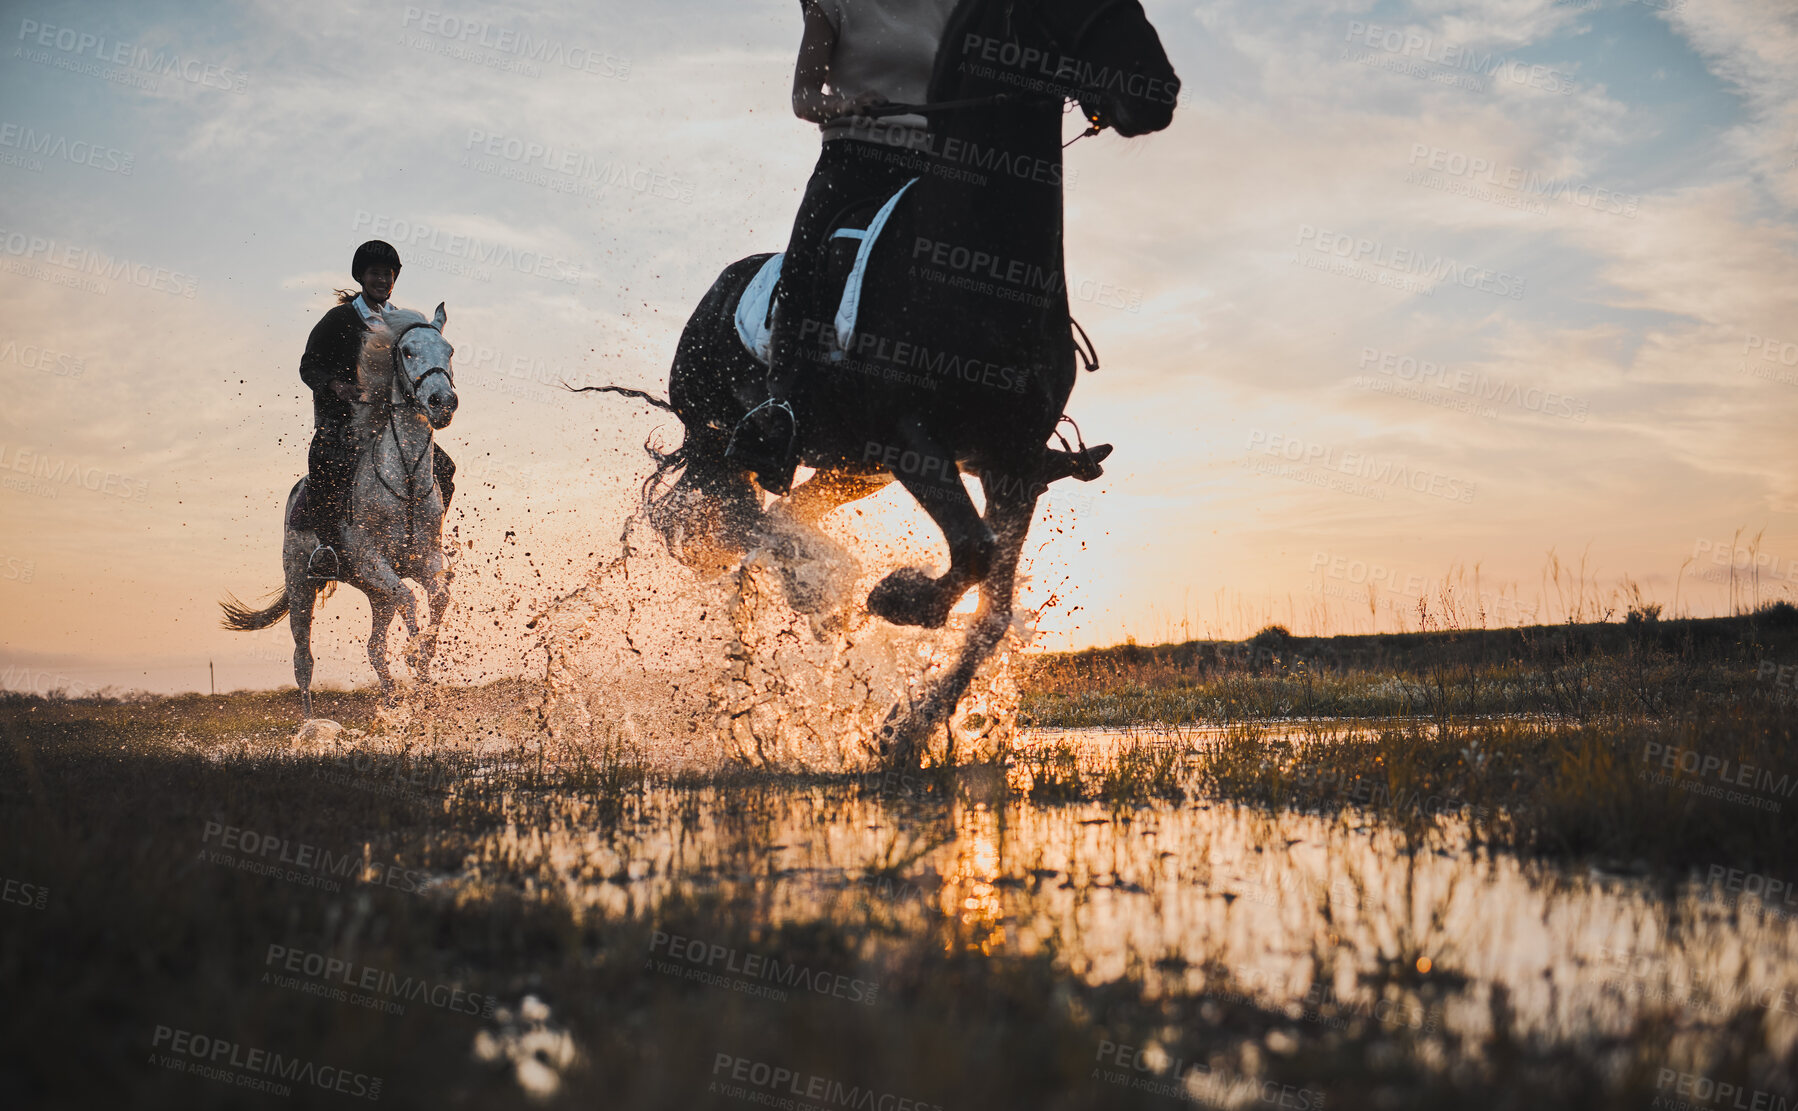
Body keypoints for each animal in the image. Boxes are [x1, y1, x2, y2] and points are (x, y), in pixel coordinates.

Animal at [222, 302, 460, 719]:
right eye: (407, 351)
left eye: (448, 351)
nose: (442, 402)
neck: (404, 479)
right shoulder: (371, 561)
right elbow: (410, 599)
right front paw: (415, 653)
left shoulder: (423, 561)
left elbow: (439, 596)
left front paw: (424, 671)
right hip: (302, 586)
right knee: (303, 660)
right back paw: (311, 724)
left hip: (375, 594)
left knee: (375, 649)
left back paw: (391, 704)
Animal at [596, 0, 1172, 758]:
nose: (1159, 91)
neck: (981, 264)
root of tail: (717, 291)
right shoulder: (913, 437)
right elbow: (974, 551)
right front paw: (898, 599)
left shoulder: (1013, 460)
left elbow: (993, 606)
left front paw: (909, 726)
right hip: (726, 441)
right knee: (744, 519)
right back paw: (822, 590)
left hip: (854, 465)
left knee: (780, 516)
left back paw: (818, 596)